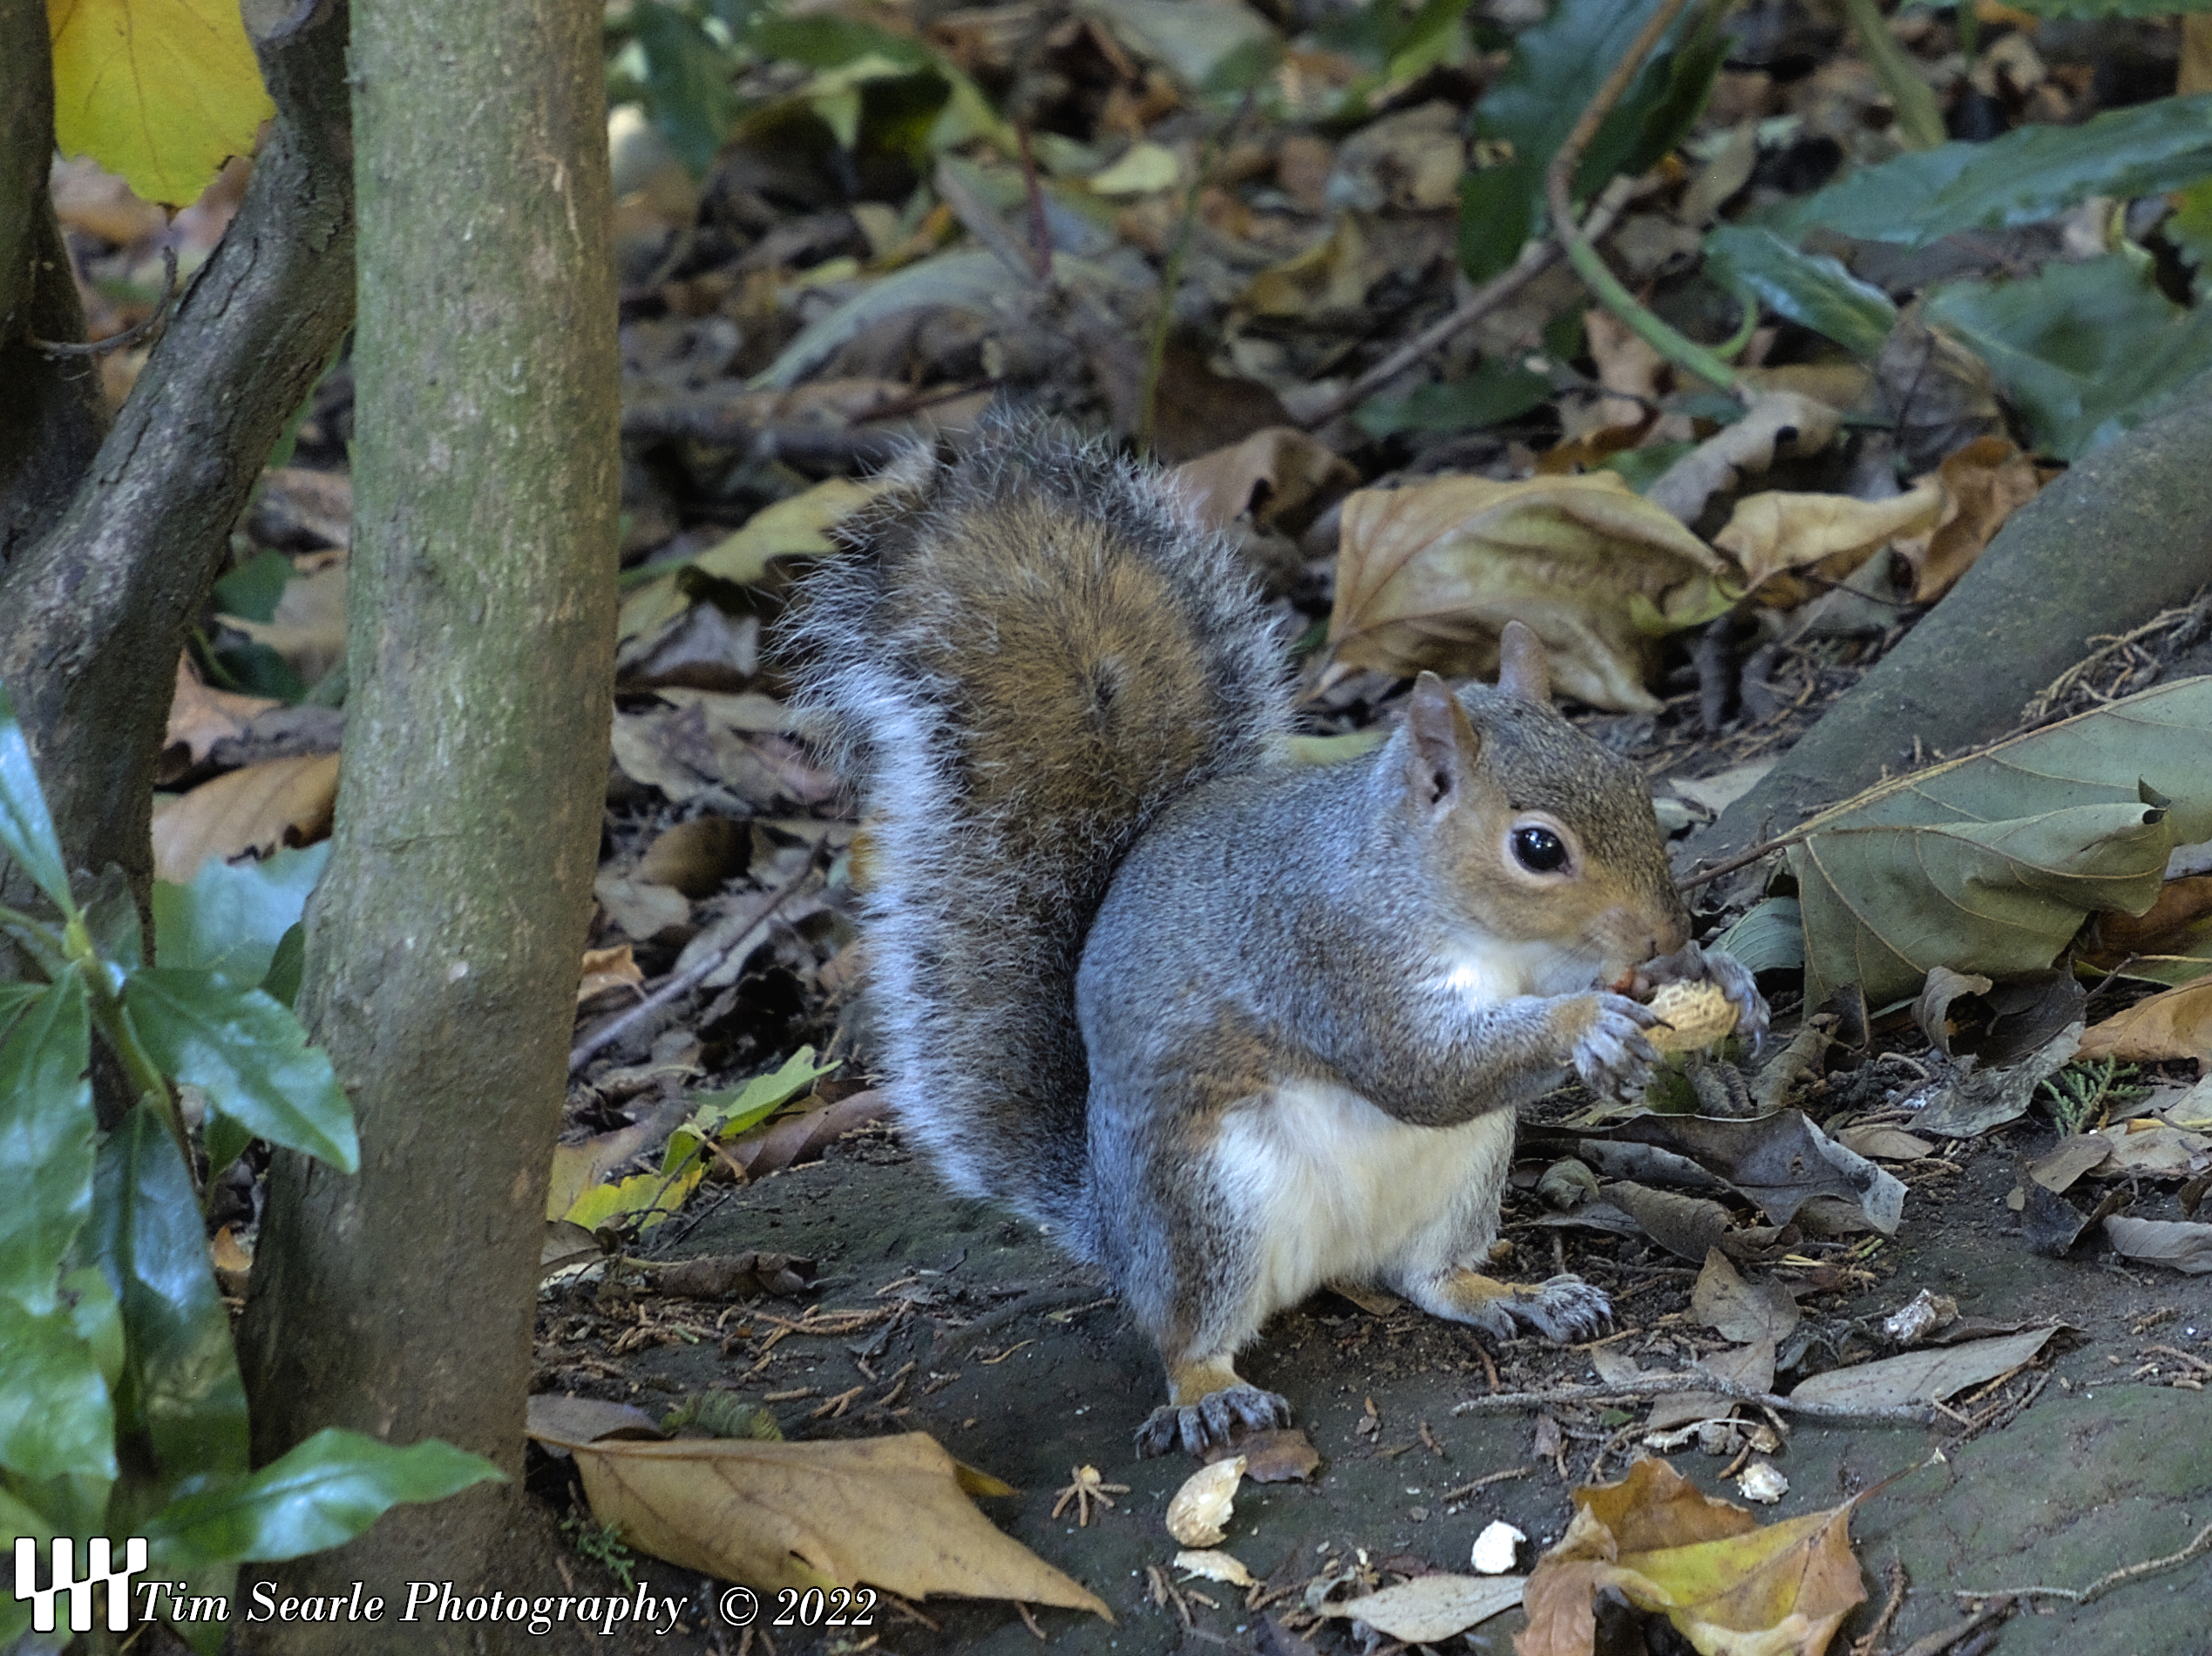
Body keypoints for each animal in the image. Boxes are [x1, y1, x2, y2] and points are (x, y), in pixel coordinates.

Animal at [789, 419, 1766, 1457]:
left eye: (1632, 778)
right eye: (1538, 848)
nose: (1665, 932)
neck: (1432, 898)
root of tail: (1113, 1226)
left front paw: (1719, 978)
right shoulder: (1325, 956)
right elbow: (1419, 1069)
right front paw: (1589, 1023)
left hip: (1462, 1179)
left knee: (1426, 1275)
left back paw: (1516, 1295)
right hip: (1202, 1208)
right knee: (1186, 1328)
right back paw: (1209, 1392)